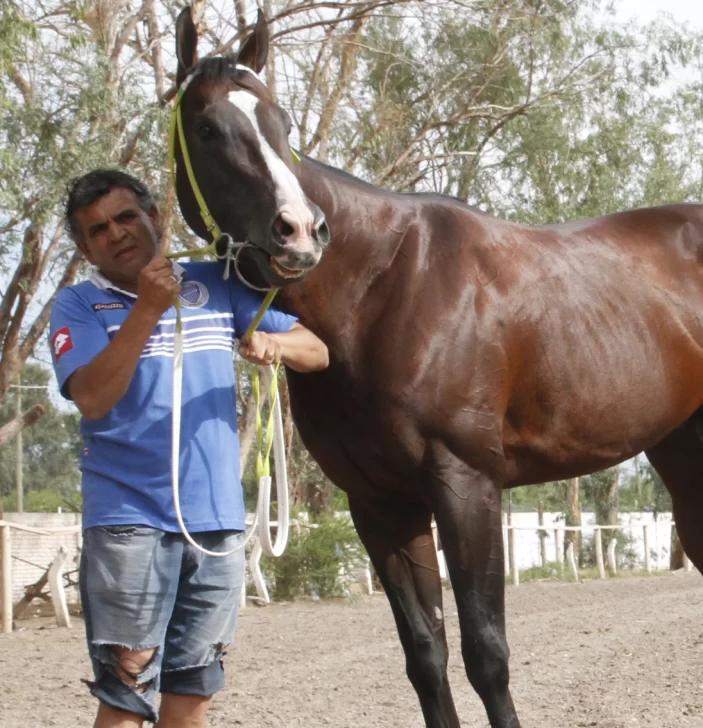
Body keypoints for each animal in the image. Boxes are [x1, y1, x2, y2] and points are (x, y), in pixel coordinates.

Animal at [170, 7, 703, 728]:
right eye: (205, 127)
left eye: (281, 123)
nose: (299, 231)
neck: (380, 287)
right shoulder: (379, 503)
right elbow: (426, 655)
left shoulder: (465, 484)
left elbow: (486, 654)